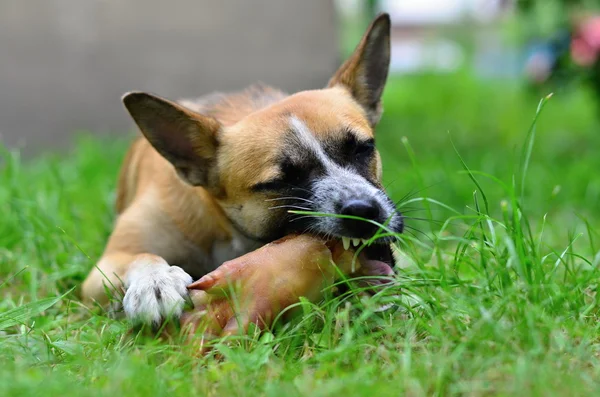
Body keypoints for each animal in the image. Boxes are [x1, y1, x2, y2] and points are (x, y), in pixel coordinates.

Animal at [81, 13, 404, 326]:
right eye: (280, 181)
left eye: (363, 148)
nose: (363, 210)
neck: (227, 229)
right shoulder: (105, 266)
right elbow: (140, 257)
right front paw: (154, 279)